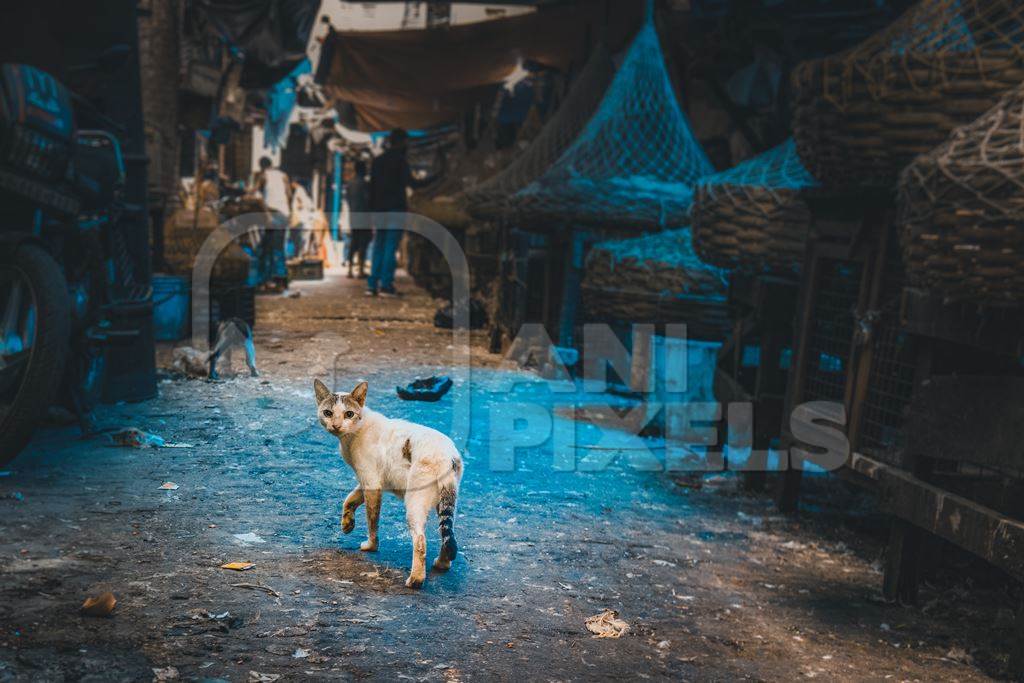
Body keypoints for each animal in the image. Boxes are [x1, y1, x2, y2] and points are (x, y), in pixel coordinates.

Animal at [313, 378, 466, 589]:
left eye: (349, 414)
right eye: (328, 413)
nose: (335, 425)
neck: (353, 434)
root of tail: (448, 454)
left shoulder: (371, 482)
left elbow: (372, 520)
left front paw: (371, 545)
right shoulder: (372, 480)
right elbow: (349, 499)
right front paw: (347, 524)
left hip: (415, 501)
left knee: (420, 540)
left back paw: (415, 580)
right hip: (445, 499)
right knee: (447, 535)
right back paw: (442, 563)